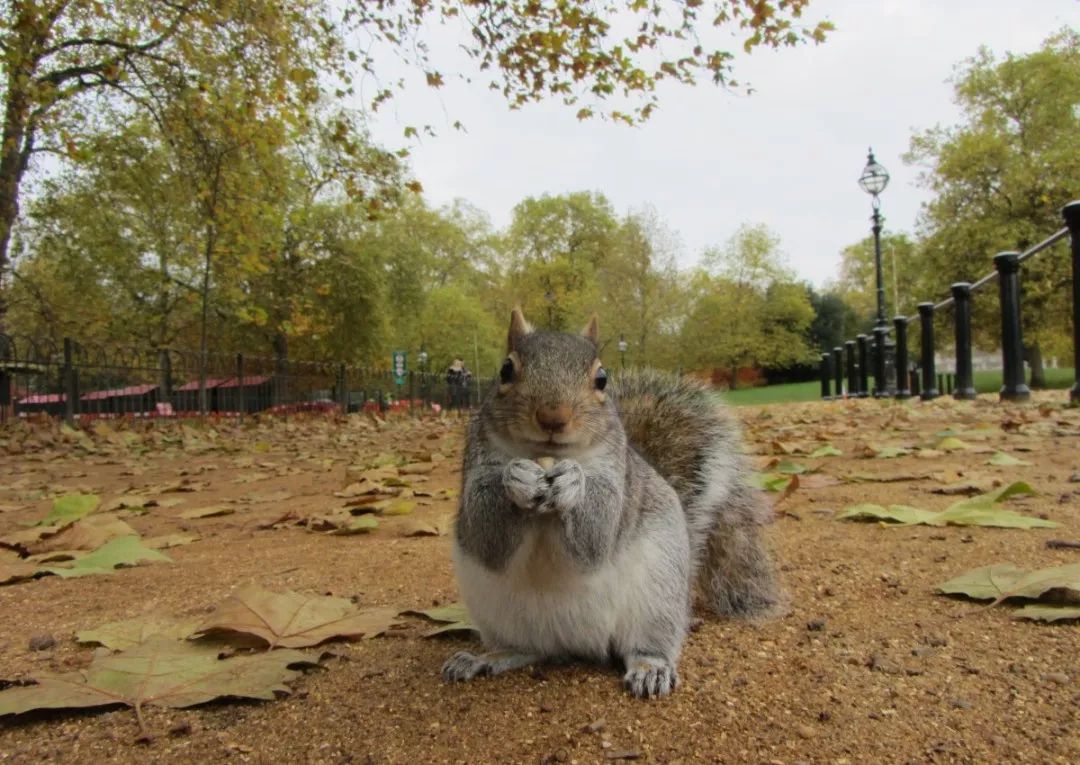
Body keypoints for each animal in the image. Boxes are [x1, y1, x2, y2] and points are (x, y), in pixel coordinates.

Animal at [442, 306, 781, 695]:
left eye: (602, 379)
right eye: (505, 370)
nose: (553, 417)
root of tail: (574, 643)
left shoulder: (616, 477)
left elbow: (598, 534)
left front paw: (574, 483)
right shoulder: (476, 463)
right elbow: (486, 535)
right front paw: (517, 477)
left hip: (658, 597)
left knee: (645, 644)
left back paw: (651, 667)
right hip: (496, 613)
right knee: (526, 649)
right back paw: (484, 658)